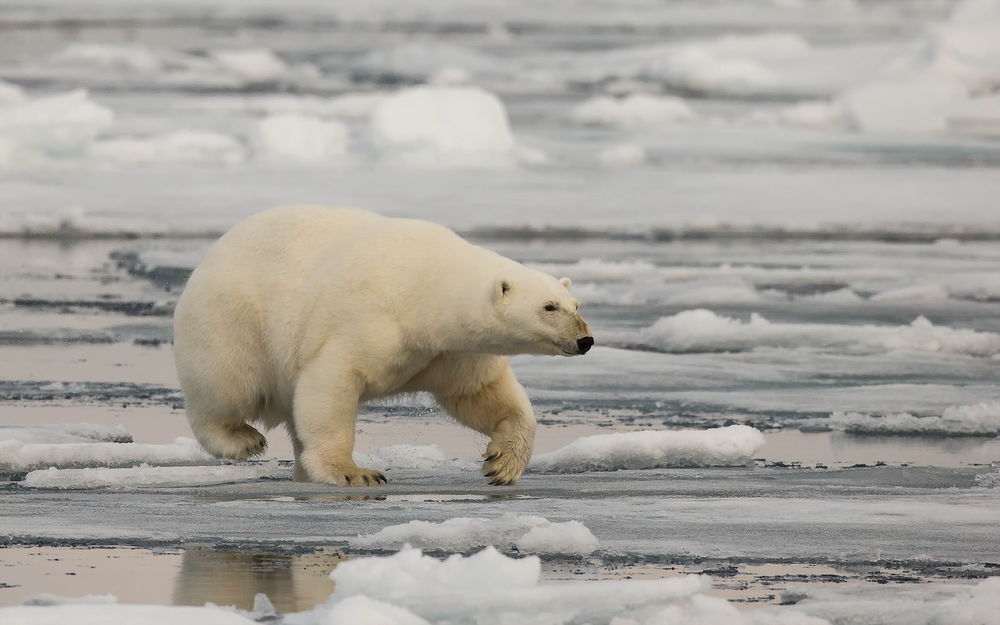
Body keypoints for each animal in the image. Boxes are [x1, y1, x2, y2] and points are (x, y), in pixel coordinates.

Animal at [173, 205, 593, 486]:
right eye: (548, 307)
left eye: (575, 305)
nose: (585, 340)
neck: (425, 286)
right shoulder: (368, 319)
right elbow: (333, 382)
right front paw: (355, 473)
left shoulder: (449, 351)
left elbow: (481, 393)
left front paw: (502, 463)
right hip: (233, 320)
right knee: (228, 385)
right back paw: (242, 440)